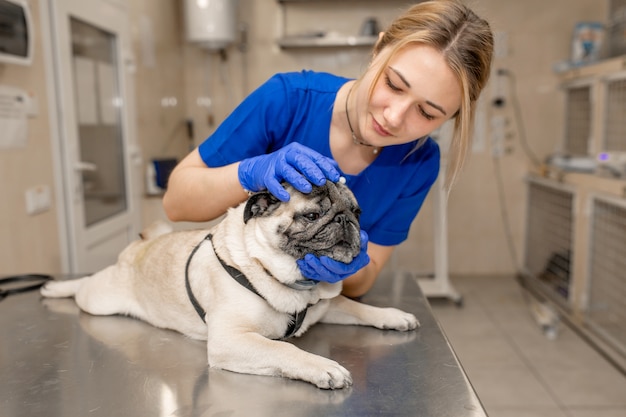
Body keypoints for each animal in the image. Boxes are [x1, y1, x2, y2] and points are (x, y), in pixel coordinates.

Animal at [41, 180, 416, 388]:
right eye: (311, 215)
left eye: (357, 212)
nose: (345, 220)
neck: (293, 283)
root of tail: (139, 247)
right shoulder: (231, 339)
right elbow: (284, 349)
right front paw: (322, 366)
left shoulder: (326, 305)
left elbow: (359, 307)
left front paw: (393, 315)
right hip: (99, 299)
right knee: (83, 285)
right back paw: (54, 288)